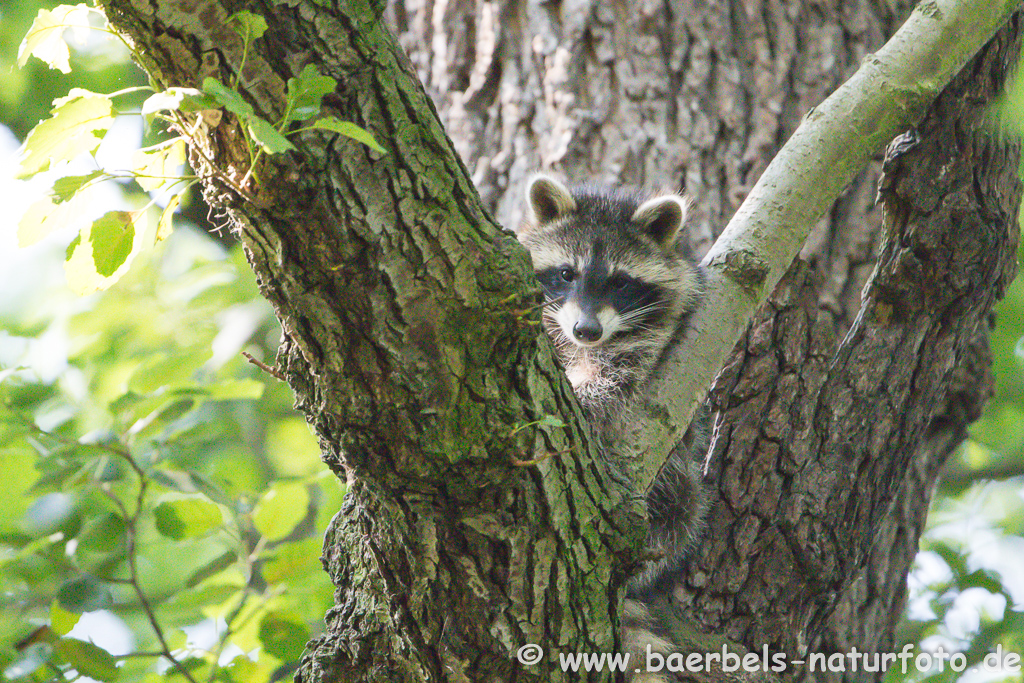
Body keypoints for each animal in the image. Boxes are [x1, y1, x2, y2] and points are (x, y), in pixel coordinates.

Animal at [516, 178, 708, 683]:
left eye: (621, 282)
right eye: (566, 274)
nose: (586, 330)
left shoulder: (652, 339)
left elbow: (611, 385)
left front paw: (584, 400)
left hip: (674, 485)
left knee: (682, 508)